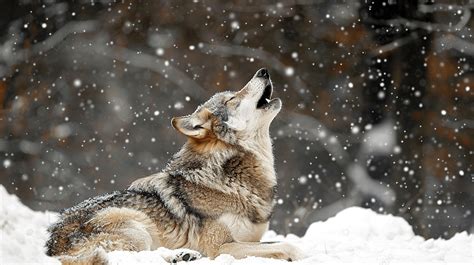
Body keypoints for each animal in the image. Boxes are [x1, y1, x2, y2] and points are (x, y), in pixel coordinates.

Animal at [45, 68, 304, 262]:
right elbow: (289, 246)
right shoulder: (221, 247)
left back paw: (183, 256)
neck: (231, 177)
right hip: (134, 224)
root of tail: (50, 248)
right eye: (232, 99)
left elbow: (280, 242)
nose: (263, 71)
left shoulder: (251, 239)